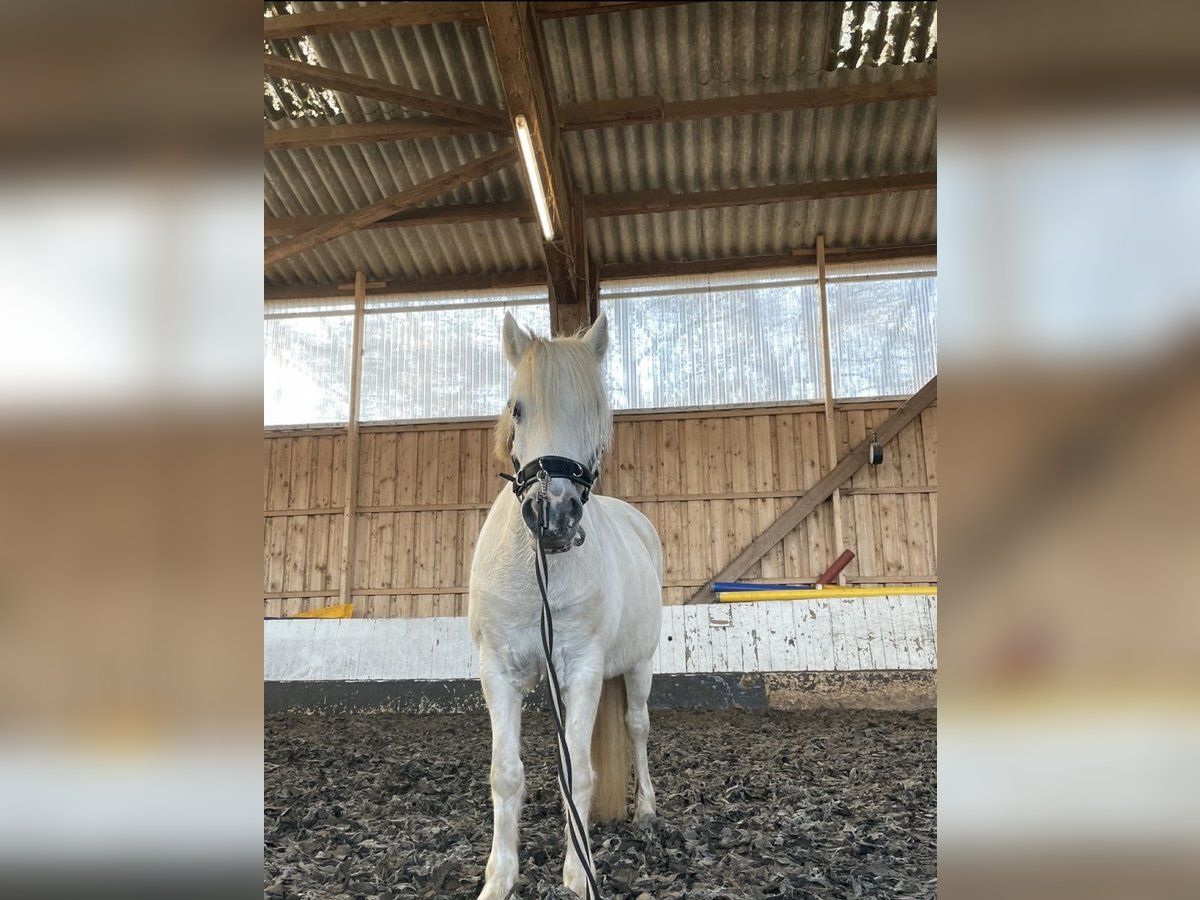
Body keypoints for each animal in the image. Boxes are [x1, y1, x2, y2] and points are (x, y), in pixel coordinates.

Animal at [468, 314, 662, 897]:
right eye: (517, 408)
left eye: (594, 413)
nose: (553, 513)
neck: (541, 577)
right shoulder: (498, 670)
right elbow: (507, 773)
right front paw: (500, 878)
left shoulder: (582, 669)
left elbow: (577, 771)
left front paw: (578, 875)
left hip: (640, 665)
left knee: (638, 726)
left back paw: (646, 812)